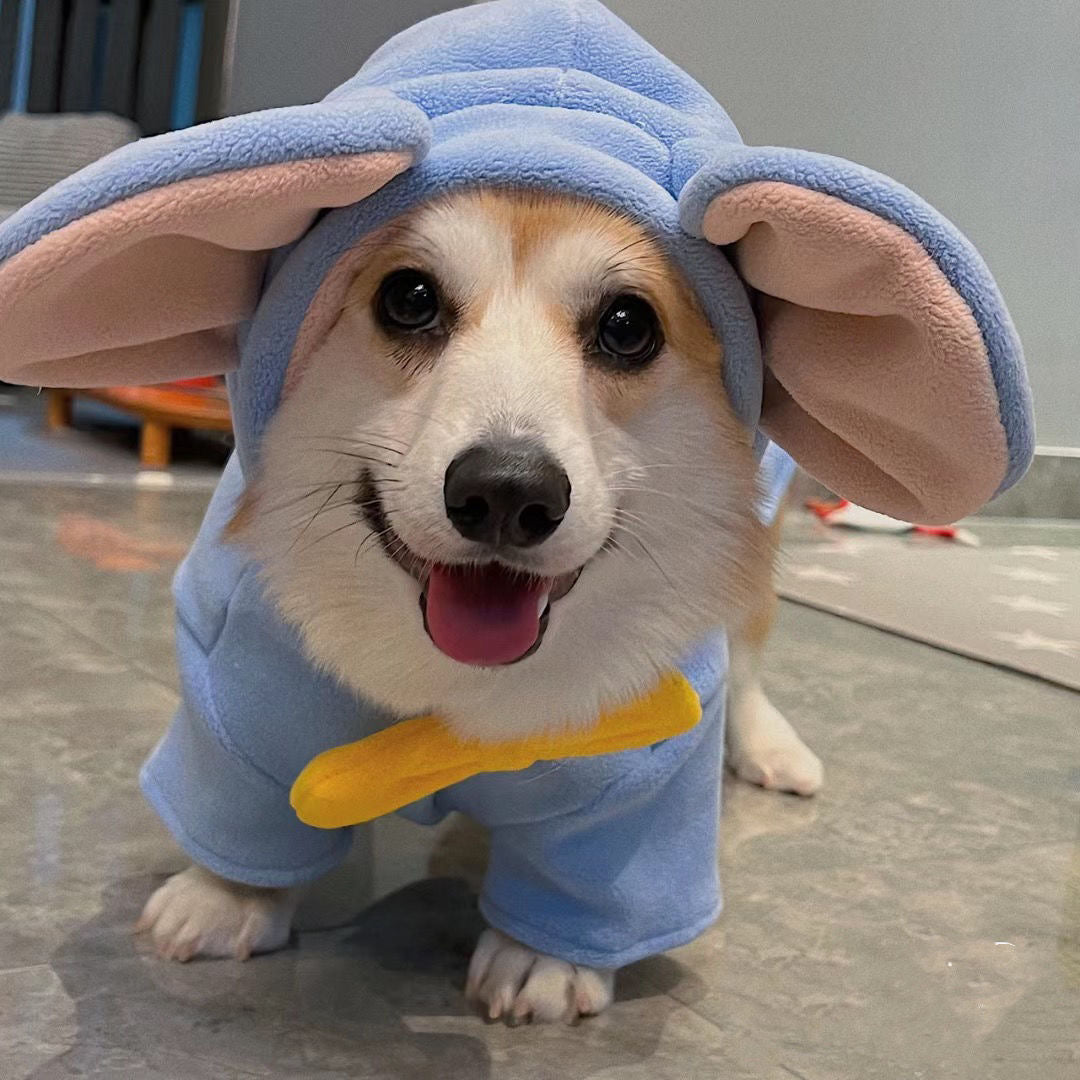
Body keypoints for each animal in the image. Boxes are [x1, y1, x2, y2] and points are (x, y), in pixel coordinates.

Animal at [135, 187, 820, 1019]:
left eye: (628, 326)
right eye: (409, 299)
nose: (507, 493)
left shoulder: (644, 771)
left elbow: (592, 880)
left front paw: (545, 961)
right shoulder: (241, 700)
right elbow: (242, 805)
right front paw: (226, 897)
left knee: (749, 658)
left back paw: (773, 748)